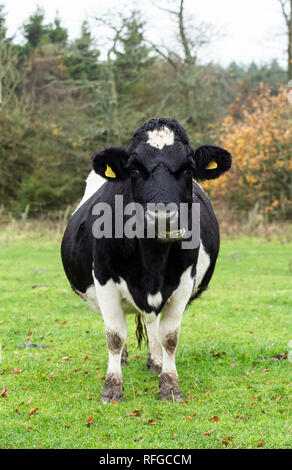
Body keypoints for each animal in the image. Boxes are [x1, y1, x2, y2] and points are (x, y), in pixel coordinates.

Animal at [60, 116, 232, 400]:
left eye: (188, 169)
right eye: (134, 169)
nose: (161, 217)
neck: (152, 261)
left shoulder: (184, 281)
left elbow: (170, 337)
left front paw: (170, 386)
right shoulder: (104, 279)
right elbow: (114, 335)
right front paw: (112, 387)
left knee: (152, 323)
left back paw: (156, 360)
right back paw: (125, 359)